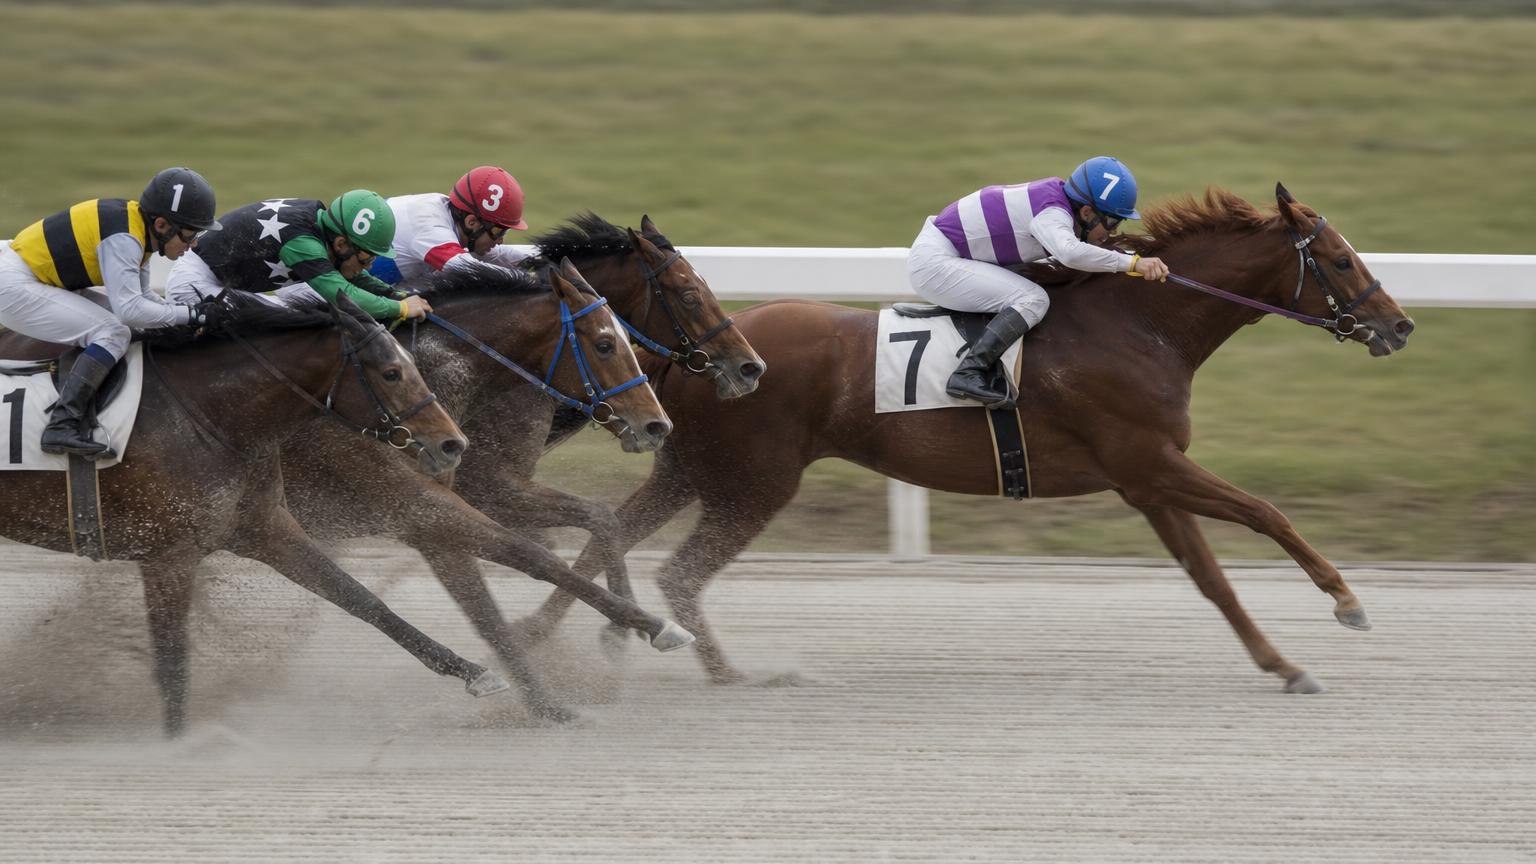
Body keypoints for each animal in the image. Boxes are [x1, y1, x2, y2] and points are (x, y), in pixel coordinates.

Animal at [0, 291, 510, 734]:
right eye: (390, 373)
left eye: (410, 366)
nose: (453, 444)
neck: (209, 414)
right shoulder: (168, 554)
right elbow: (172, 661)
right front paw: (179, 745)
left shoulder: (265, 528)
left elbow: (364, 601)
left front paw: (473, 672)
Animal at [519, 184, 1417, 695]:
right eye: (1340, 259)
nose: (1399, 325)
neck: (1141, 325)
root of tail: (709, 352)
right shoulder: (1151, 464)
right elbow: (1268, 514)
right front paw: (1346, 604)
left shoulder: (1147, 481)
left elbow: (1213, 579)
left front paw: (1284, 664)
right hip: (755, 483)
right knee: (677, 571)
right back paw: (723, 672)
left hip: (691, 468)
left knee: (609, 535)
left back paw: (552, 638)